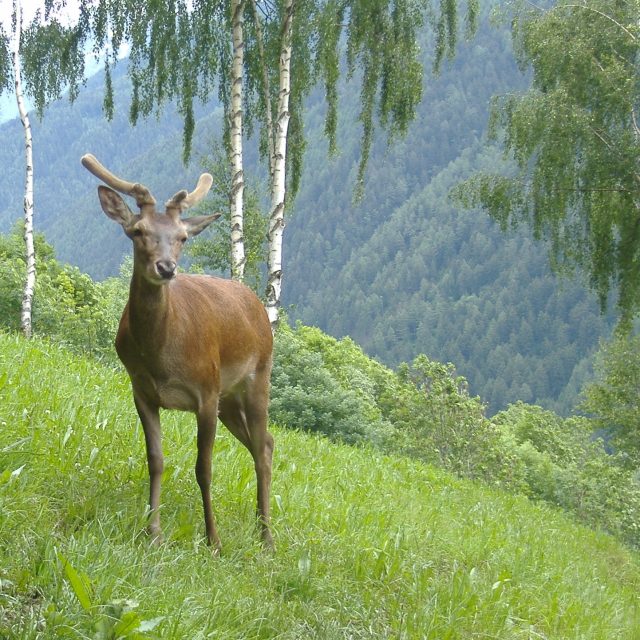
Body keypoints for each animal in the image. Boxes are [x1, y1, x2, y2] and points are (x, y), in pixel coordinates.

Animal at [81, 154, 274, 551]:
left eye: (182, 237)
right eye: (138, 231)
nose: (166, 267)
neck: (161, 358)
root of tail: (258, 307)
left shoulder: (206, 392)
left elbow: (204, 468)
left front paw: (213, 540)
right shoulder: (142, 391)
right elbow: (155, 460)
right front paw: (152, 531)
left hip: (257, 377)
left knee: (263, 449)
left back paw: (267, 538)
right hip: (230, 399)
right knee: (264, 443)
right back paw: (258, 525)